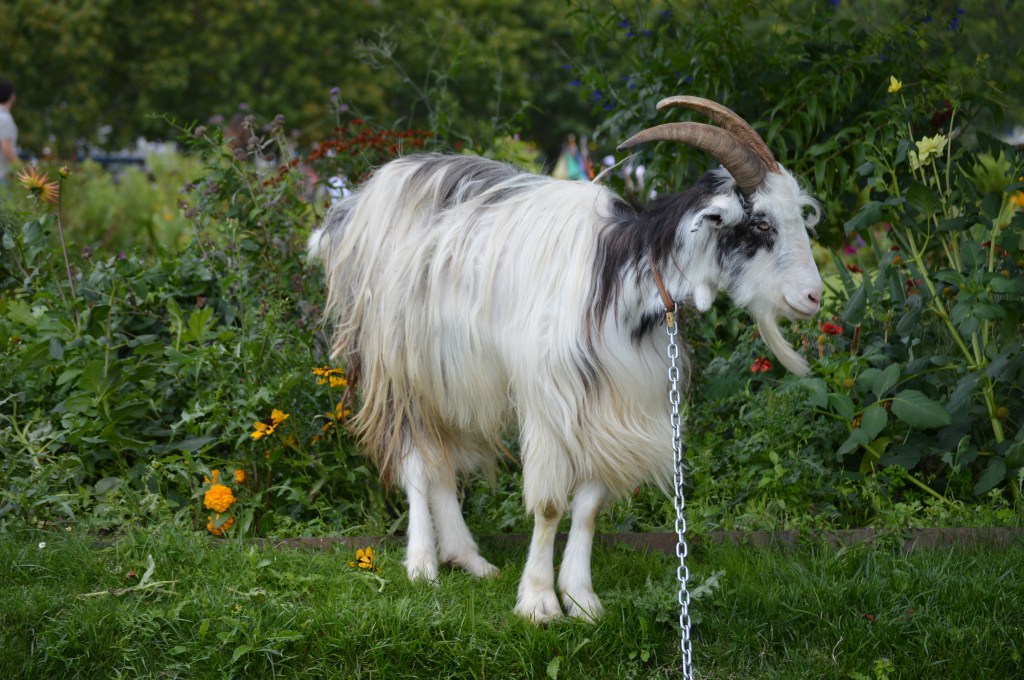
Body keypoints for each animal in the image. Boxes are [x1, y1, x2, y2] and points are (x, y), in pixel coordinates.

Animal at [307, 96, 822, 623]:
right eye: (762, 223)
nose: (814, 296)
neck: (620, 276)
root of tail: (360, 201)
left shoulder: (613, 402)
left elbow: (589, 506)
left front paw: (580, 597)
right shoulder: (550, 403)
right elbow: (552, 504)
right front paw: (538, 600)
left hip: (453, 372)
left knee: (443, 460)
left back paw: (468, 557)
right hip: (394, 365)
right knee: (415, 460)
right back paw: (423, 563)